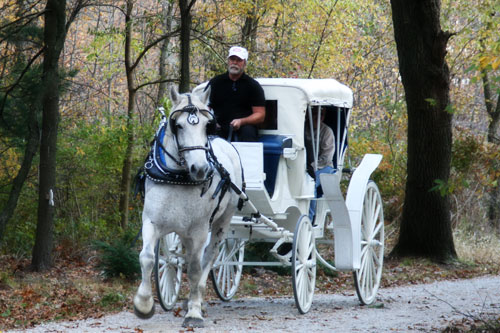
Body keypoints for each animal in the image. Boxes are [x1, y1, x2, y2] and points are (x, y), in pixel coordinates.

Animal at [132, 86, 243, 326]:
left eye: (206, 125)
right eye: (179, 125)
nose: (200, 168)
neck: (178, 177)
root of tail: (226, 142)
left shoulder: (199, 230)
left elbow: (194, 269)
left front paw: (193, 312)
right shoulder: (151, 222)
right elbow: (147, 258)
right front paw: (143, 304)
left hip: (222, 222)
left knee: (209, 257)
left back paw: (198, 299)